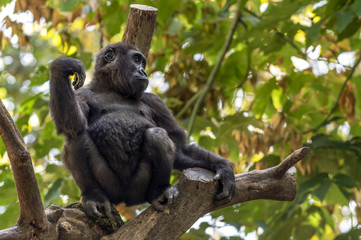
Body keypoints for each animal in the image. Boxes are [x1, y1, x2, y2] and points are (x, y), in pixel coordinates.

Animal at [48, 41, 233, 219]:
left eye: (142, 62)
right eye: (136, 60)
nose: (143, 71)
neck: (112, 89)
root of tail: (125, 200)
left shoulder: (155, 100)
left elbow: (179, 147)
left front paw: (223, 167)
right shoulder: (82, 94)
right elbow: (72, 125)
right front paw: (61, 67)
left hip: (138, 190)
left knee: (157, 136)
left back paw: (159, 191)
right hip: (111, 188)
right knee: (77, 137)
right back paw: (93, 195)